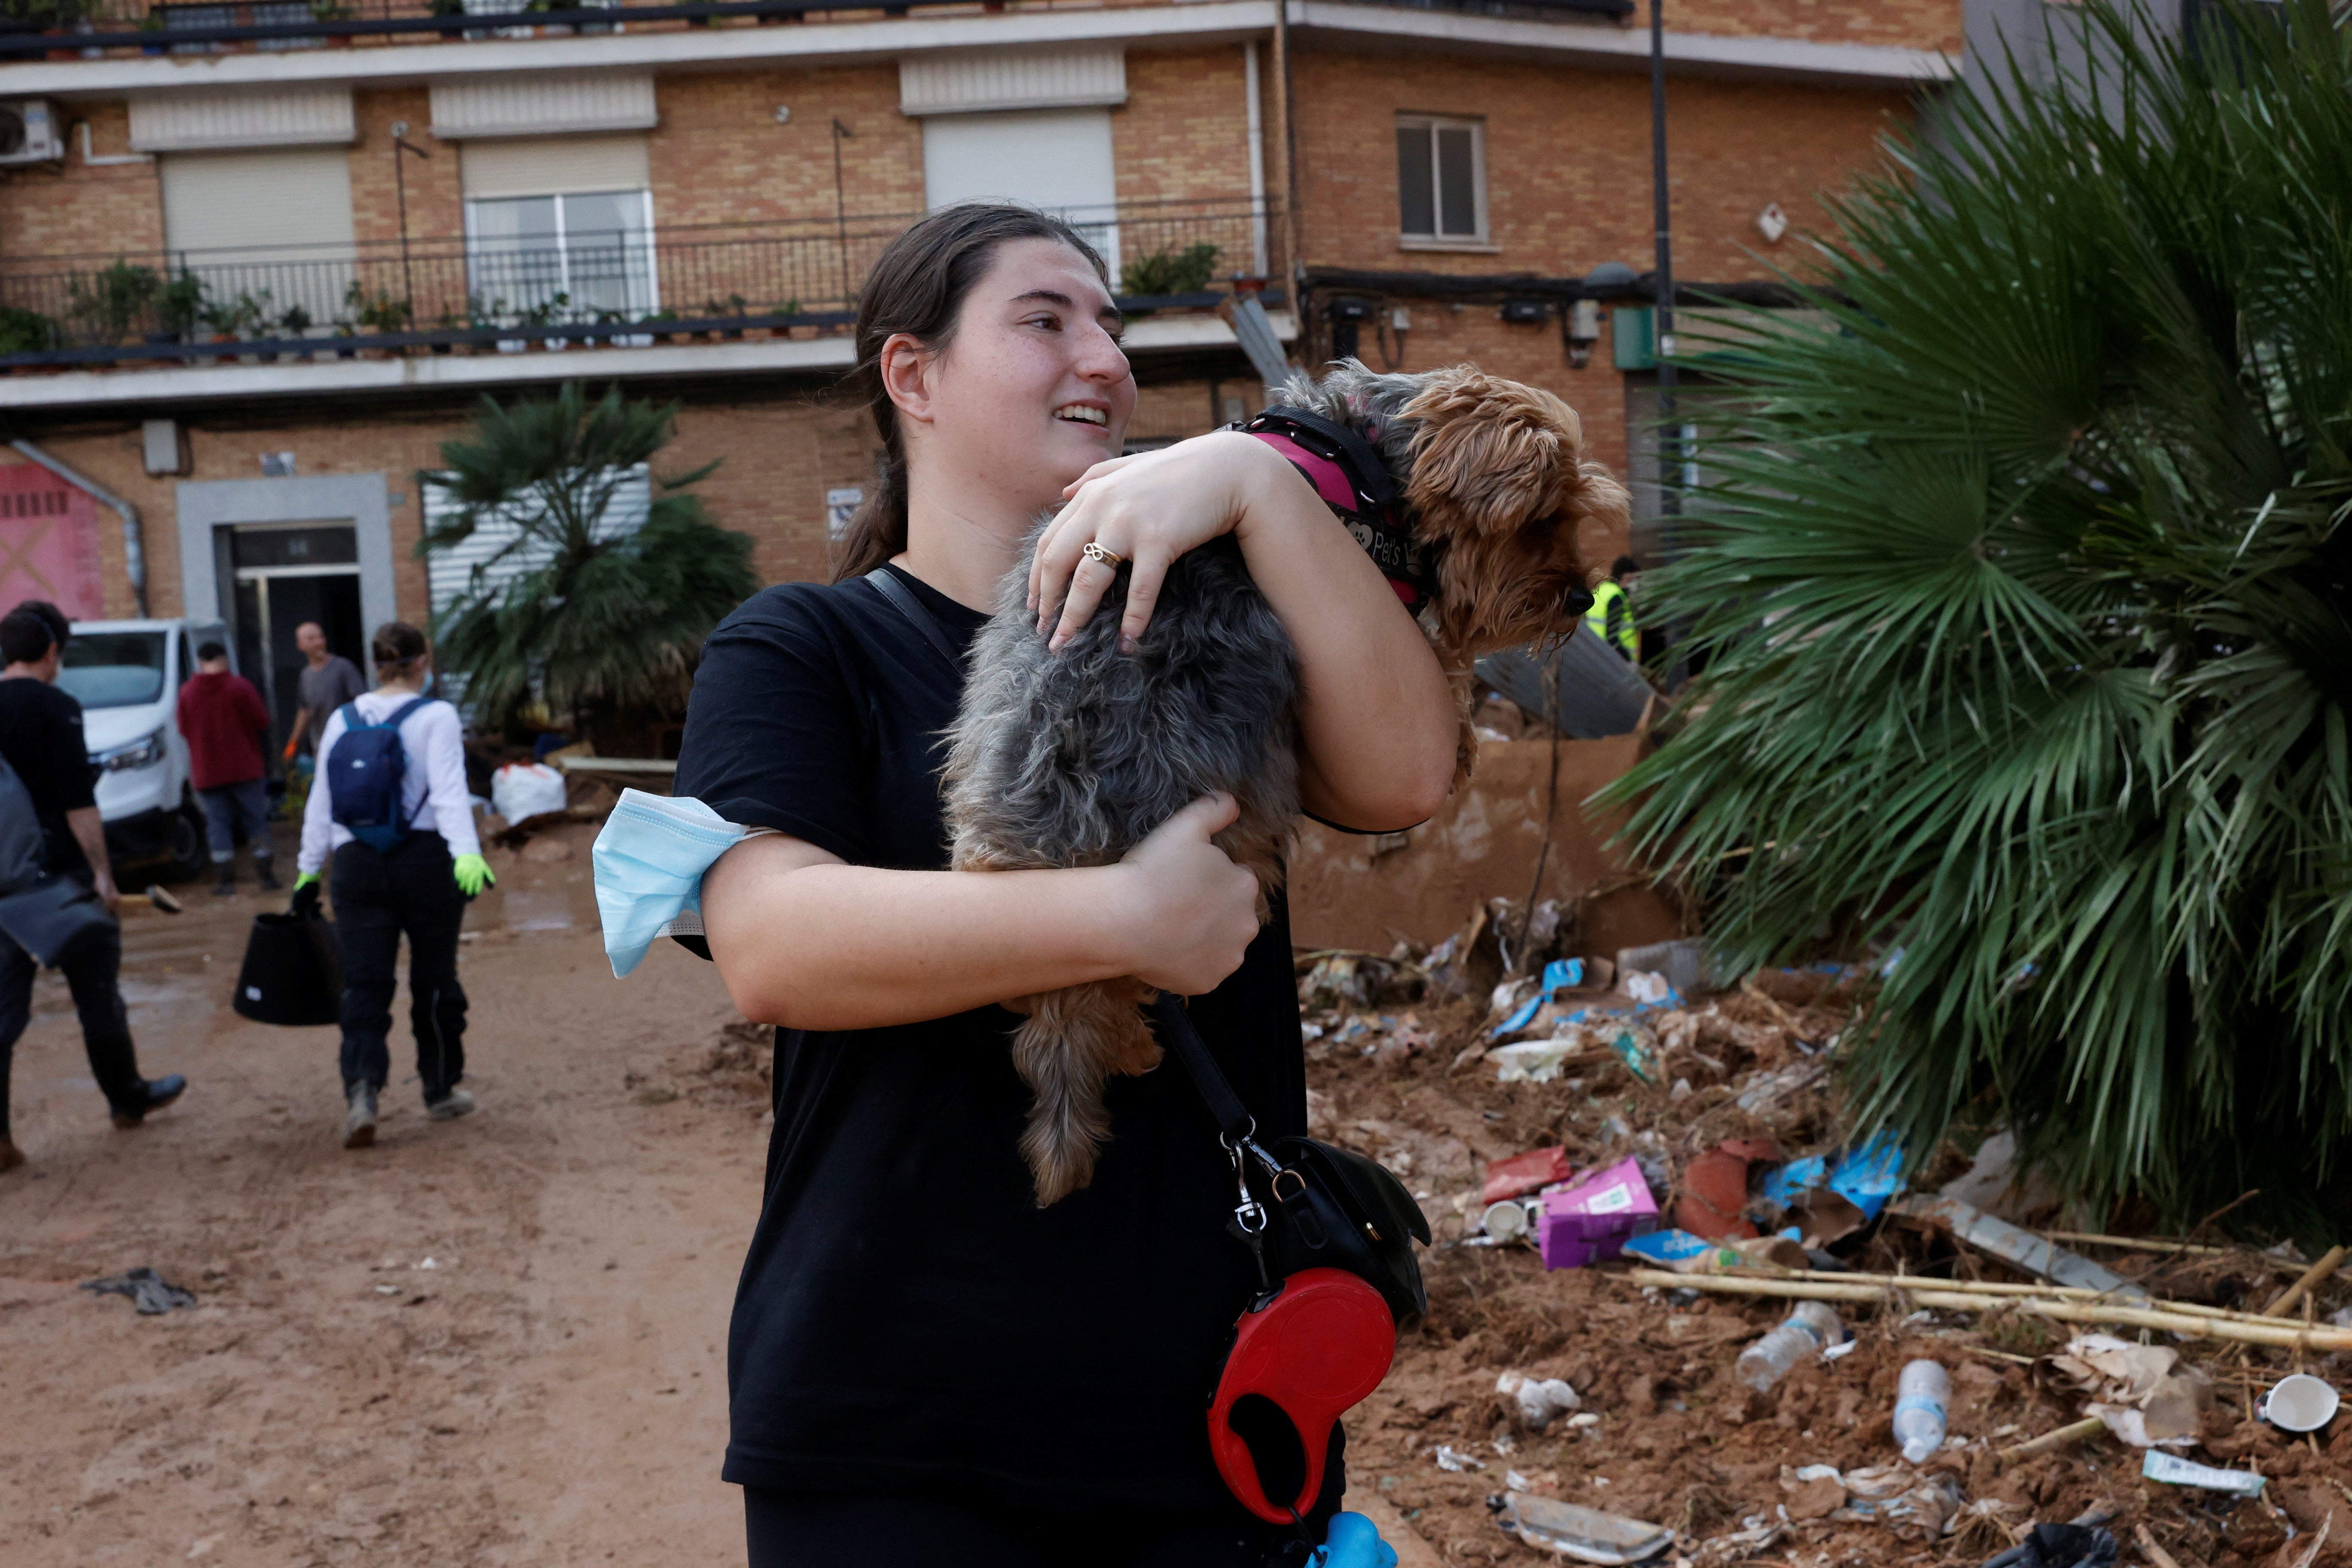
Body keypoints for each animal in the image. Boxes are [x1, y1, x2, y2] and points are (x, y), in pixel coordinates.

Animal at [945, 362, 1627, 1213]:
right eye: (1540, 520)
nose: (1580, 598)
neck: (1365, 452)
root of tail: (1066, 837)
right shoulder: (1386, 586)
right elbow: (1439, 655)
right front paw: (1465, 727)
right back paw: (1134, 1043)